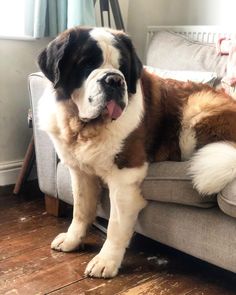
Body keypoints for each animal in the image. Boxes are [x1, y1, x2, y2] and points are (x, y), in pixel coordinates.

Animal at [37, 26, 236, 278]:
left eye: (123, 68)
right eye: (86, 64)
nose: (114, 80)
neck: (85, 127)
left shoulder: (125, 178)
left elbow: (115, 225)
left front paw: (106, 261)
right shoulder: (80, 172)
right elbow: (81, 209)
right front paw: (73, 240)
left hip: (199, 104)